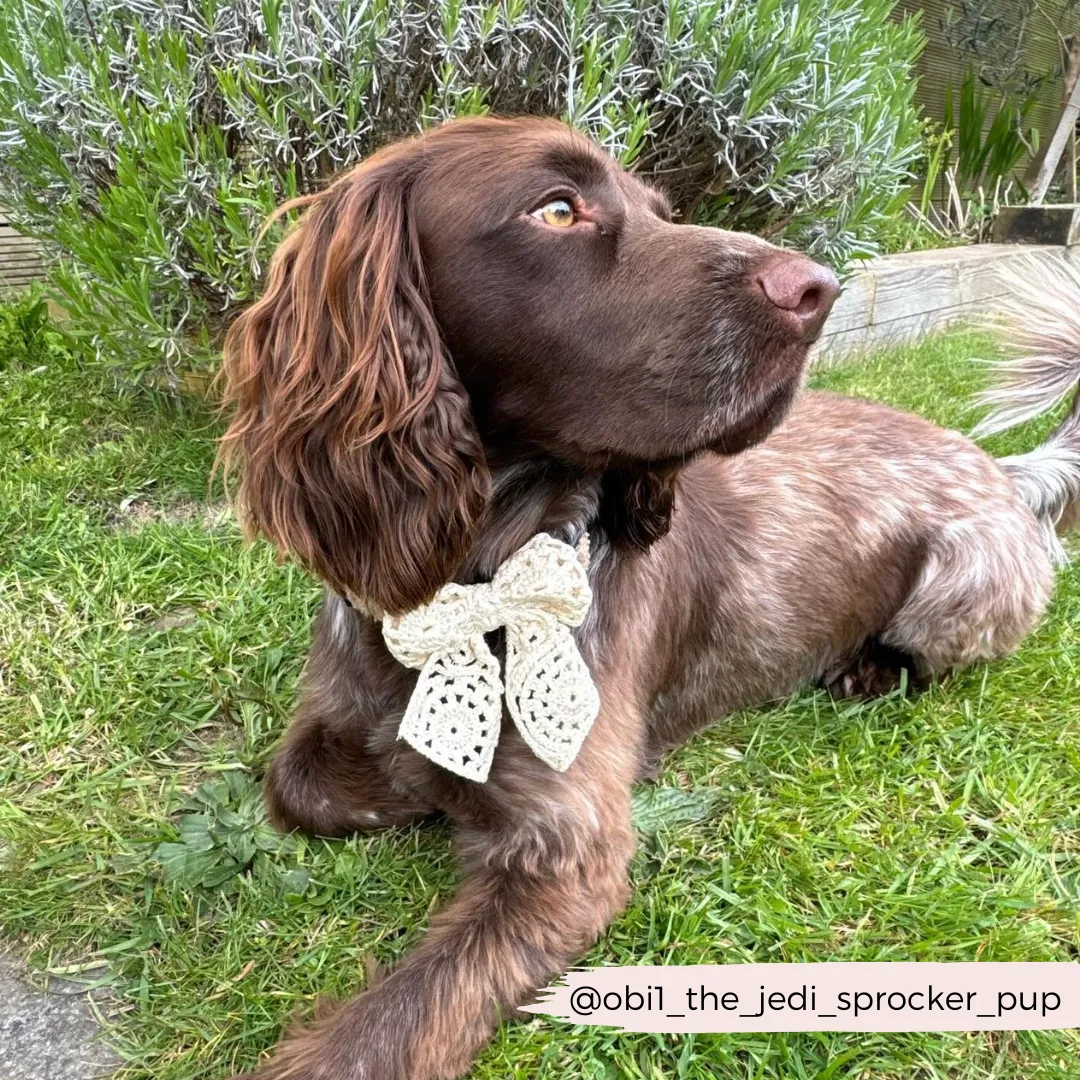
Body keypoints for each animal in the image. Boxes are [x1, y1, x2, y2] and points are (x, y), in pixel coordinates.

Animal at [219, 113, 1080, 1075]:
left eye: (662, 211)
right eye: (558, 209)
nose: (818, 290)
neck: (478, 576)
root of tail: (1001, 468)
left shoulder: (571, 851)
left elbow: (385, 1033)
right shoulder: (335, 710)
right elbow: (300, 781)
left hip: (963, 588)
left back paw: (870, 668)